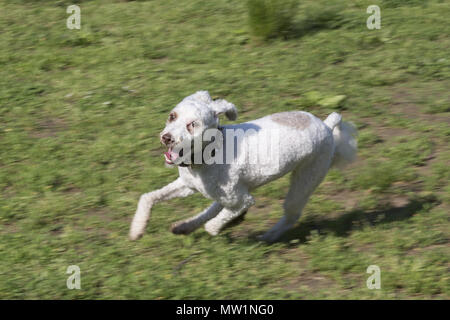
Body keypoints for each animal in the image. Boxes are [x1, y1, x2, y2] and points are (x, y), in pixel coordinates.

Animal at [130, 91, 358, 241]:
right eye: (172, 116)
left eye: (192, 125)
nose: (167, 138)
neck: (211, 154)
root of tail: (327, 125)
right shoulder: (188, 185)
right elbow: (147, 198)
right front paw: (137, 229)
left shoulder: (244, 199)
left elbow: (216, 223)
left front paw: (220, 227)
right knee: (216, 207)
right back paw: (185, 226)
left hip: (306, 179)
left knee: (291, 215)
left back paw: (268, 236)